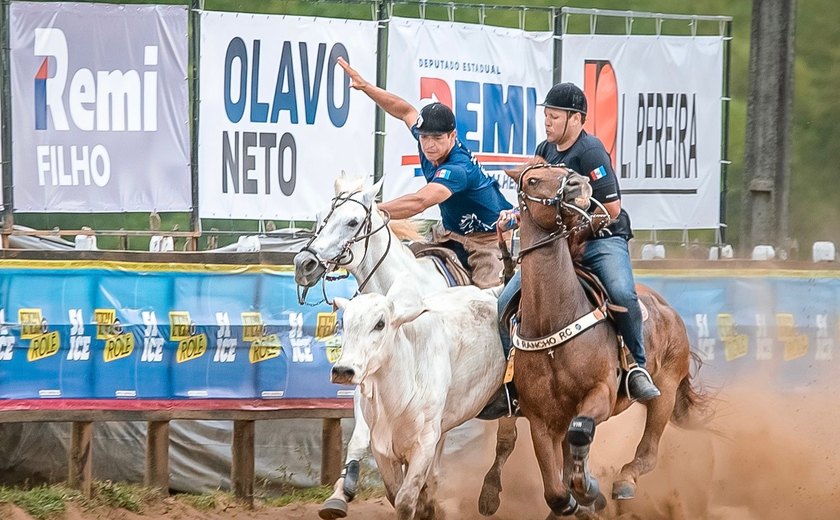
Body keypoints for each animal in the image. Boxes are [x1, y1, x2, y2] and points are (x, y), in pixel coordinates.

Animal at [334, 284, 506, 520]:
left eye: (380, 323)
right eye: (344, 322)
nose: (343, 370)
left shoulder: (424, 444)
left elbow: (405, 500)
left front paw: (425, 508)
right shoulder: (381, 448)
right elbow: (393, 493)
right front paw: (426, 507)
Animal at [508, 166, 712, 516]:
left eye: (564, 170)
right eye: (532, 180)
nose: (578, 184)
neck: (555, 319)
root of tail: (667, 309)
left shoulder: (600, 392)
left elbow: (580, 434)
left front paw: (591, 491)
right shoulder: (541, 421)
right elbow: (556, 491)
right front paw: (581, 499)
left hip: (666, 389)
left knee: (648, 451)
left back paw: (624, 481)